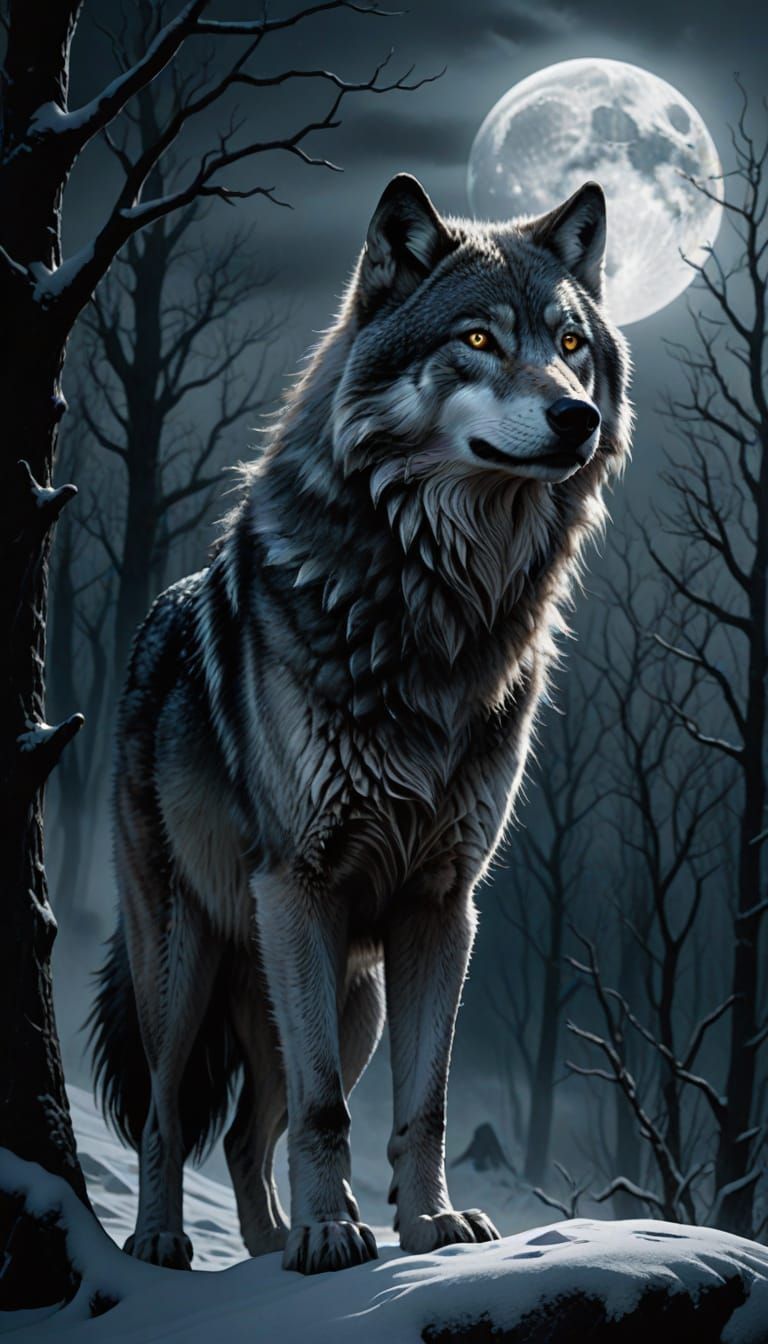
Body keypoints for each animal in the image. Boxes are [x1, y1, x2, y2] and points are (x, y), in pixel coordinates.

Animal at [90, 173, 631, 1276]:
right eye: (477, 339)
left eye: (570, 342)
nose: (578, 415)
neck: (441, 611)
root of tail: (149, 622)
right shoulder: (300, 885)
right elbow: (326, 1112)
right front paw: (338, 1233)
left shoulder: (443, 905)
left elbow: (419, 1107)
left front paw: (428, 1230)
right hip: (187, 962)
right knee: (172, 1112)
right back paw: (166, 1240)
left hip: (352, 1000)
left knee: (250, 1129)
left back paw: (265, 1249)